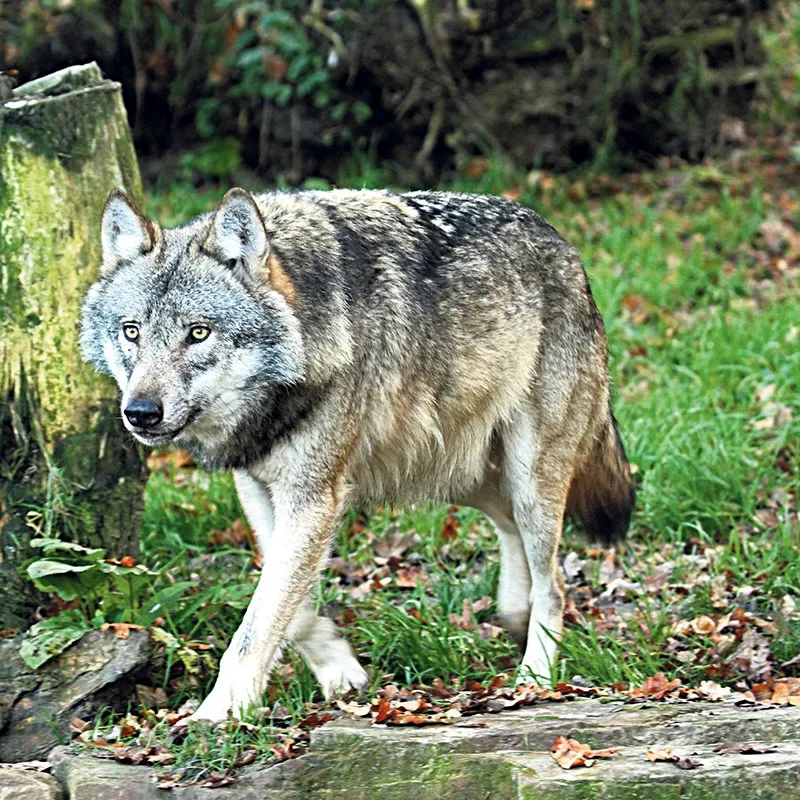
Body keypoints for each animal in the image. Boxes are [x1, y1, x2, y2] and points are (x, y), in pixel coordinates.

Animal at [80, 186, 634, 721]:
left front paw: (218, 713)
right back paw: (512, 616)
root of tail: (562, 243)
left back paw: (534, 676)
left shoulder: (313, 498)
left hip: (526, 475)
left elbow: (259, 620)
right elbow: (290, 607)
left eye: (198, 332)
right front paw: (340, 671)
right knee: (511, 532)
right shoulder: (259, 488)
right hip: (460, 476)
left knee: (554, 583)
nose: (140, 412)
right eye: (131, 331)